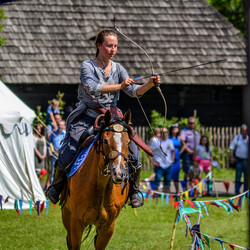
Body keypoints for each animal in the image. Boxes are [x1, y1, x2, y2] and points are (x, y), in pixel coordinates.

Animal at [61, 110, 132, 250]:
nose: (119, 173)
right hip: (66, 214)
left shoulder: (107, 227)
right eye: (105, 141)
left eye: (128, 142)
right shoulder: (76, 223)